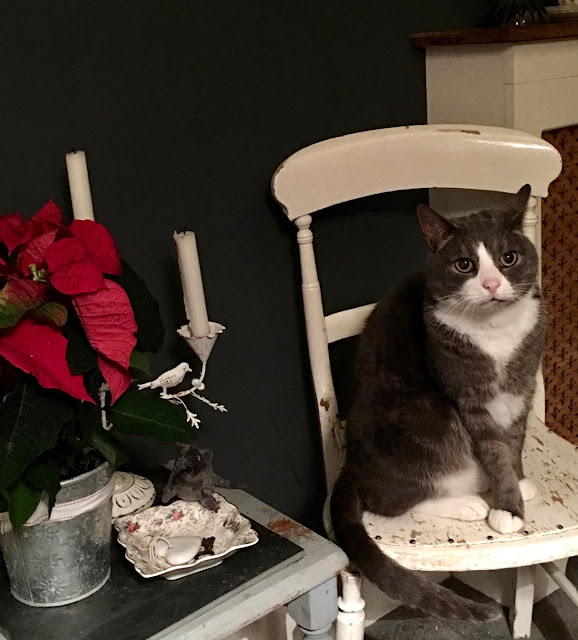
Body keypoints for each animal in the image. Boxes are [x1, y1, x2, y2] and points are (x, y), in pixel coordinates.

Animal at [328, 184, 544, 620]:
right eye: (464, 265)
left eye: (508, 258)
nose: (491, 284)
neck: (496, 333)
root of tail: (349, 465)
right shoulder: (466, 398)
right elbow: (493, 448)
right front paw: (507, 507)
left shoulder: (523, 388)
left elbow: (514, 440)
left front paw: (518, 481)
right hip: (428, 415)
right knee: (386, 503)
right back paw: (467, 504)